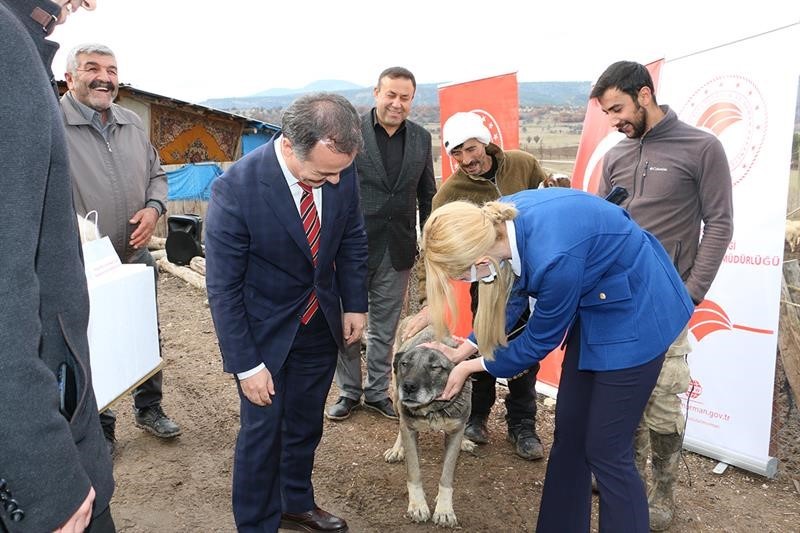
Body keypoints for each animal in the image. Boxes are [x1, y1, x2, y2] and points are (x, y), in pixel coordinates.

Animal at [382, 322, 472, 524]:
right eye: (405, 364)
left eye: (435, 367)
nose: (408, 387)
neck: (433, 408)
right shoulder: (409, 429)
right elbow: (414, 473)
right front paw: (418, 506)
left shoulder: (454, 432)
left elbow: (446, 476)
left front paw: (445, 509)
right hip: (396, 399)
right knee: (400, 424)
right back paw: (397, 449)